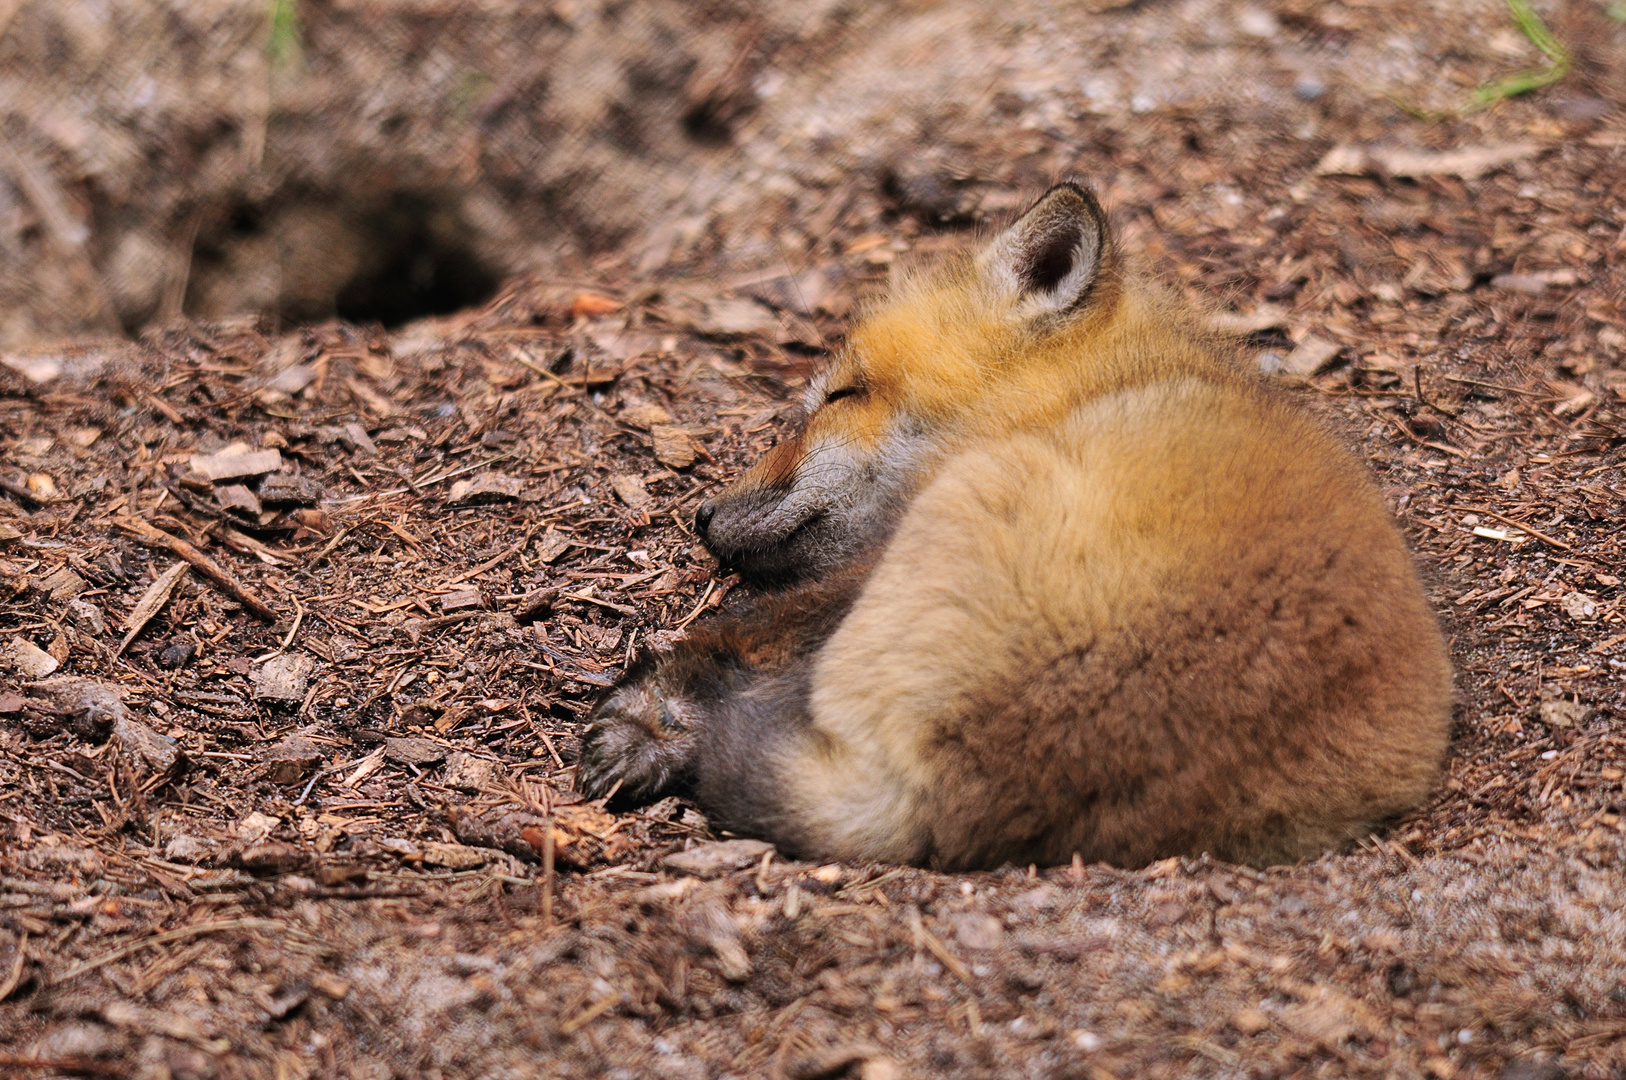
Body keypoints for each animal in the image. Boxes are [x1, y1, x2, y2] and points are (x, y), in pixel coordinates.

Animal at [578, 183, 1456, 871]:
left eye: (842, 396)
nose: (701, 516)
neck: (1085, 390)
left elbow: (737, 631)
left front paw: (646, 708)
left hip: (956, 515)